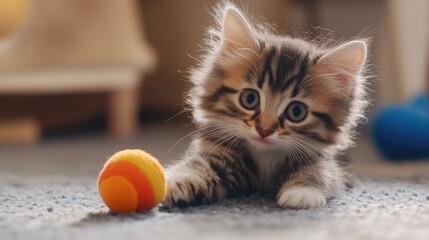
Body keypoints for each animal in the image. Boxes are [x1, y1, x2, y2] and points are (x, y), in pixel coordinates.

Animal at [161, 4, 368, 209]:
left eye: (297, 112)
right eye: (250, 99)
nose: (264, 131)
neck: (266, 156)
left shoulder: (324, 160)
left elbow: (320, 172)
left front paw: (302, 192)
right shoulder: (218, 153)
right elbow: (197, 166)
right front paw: (175, 182)